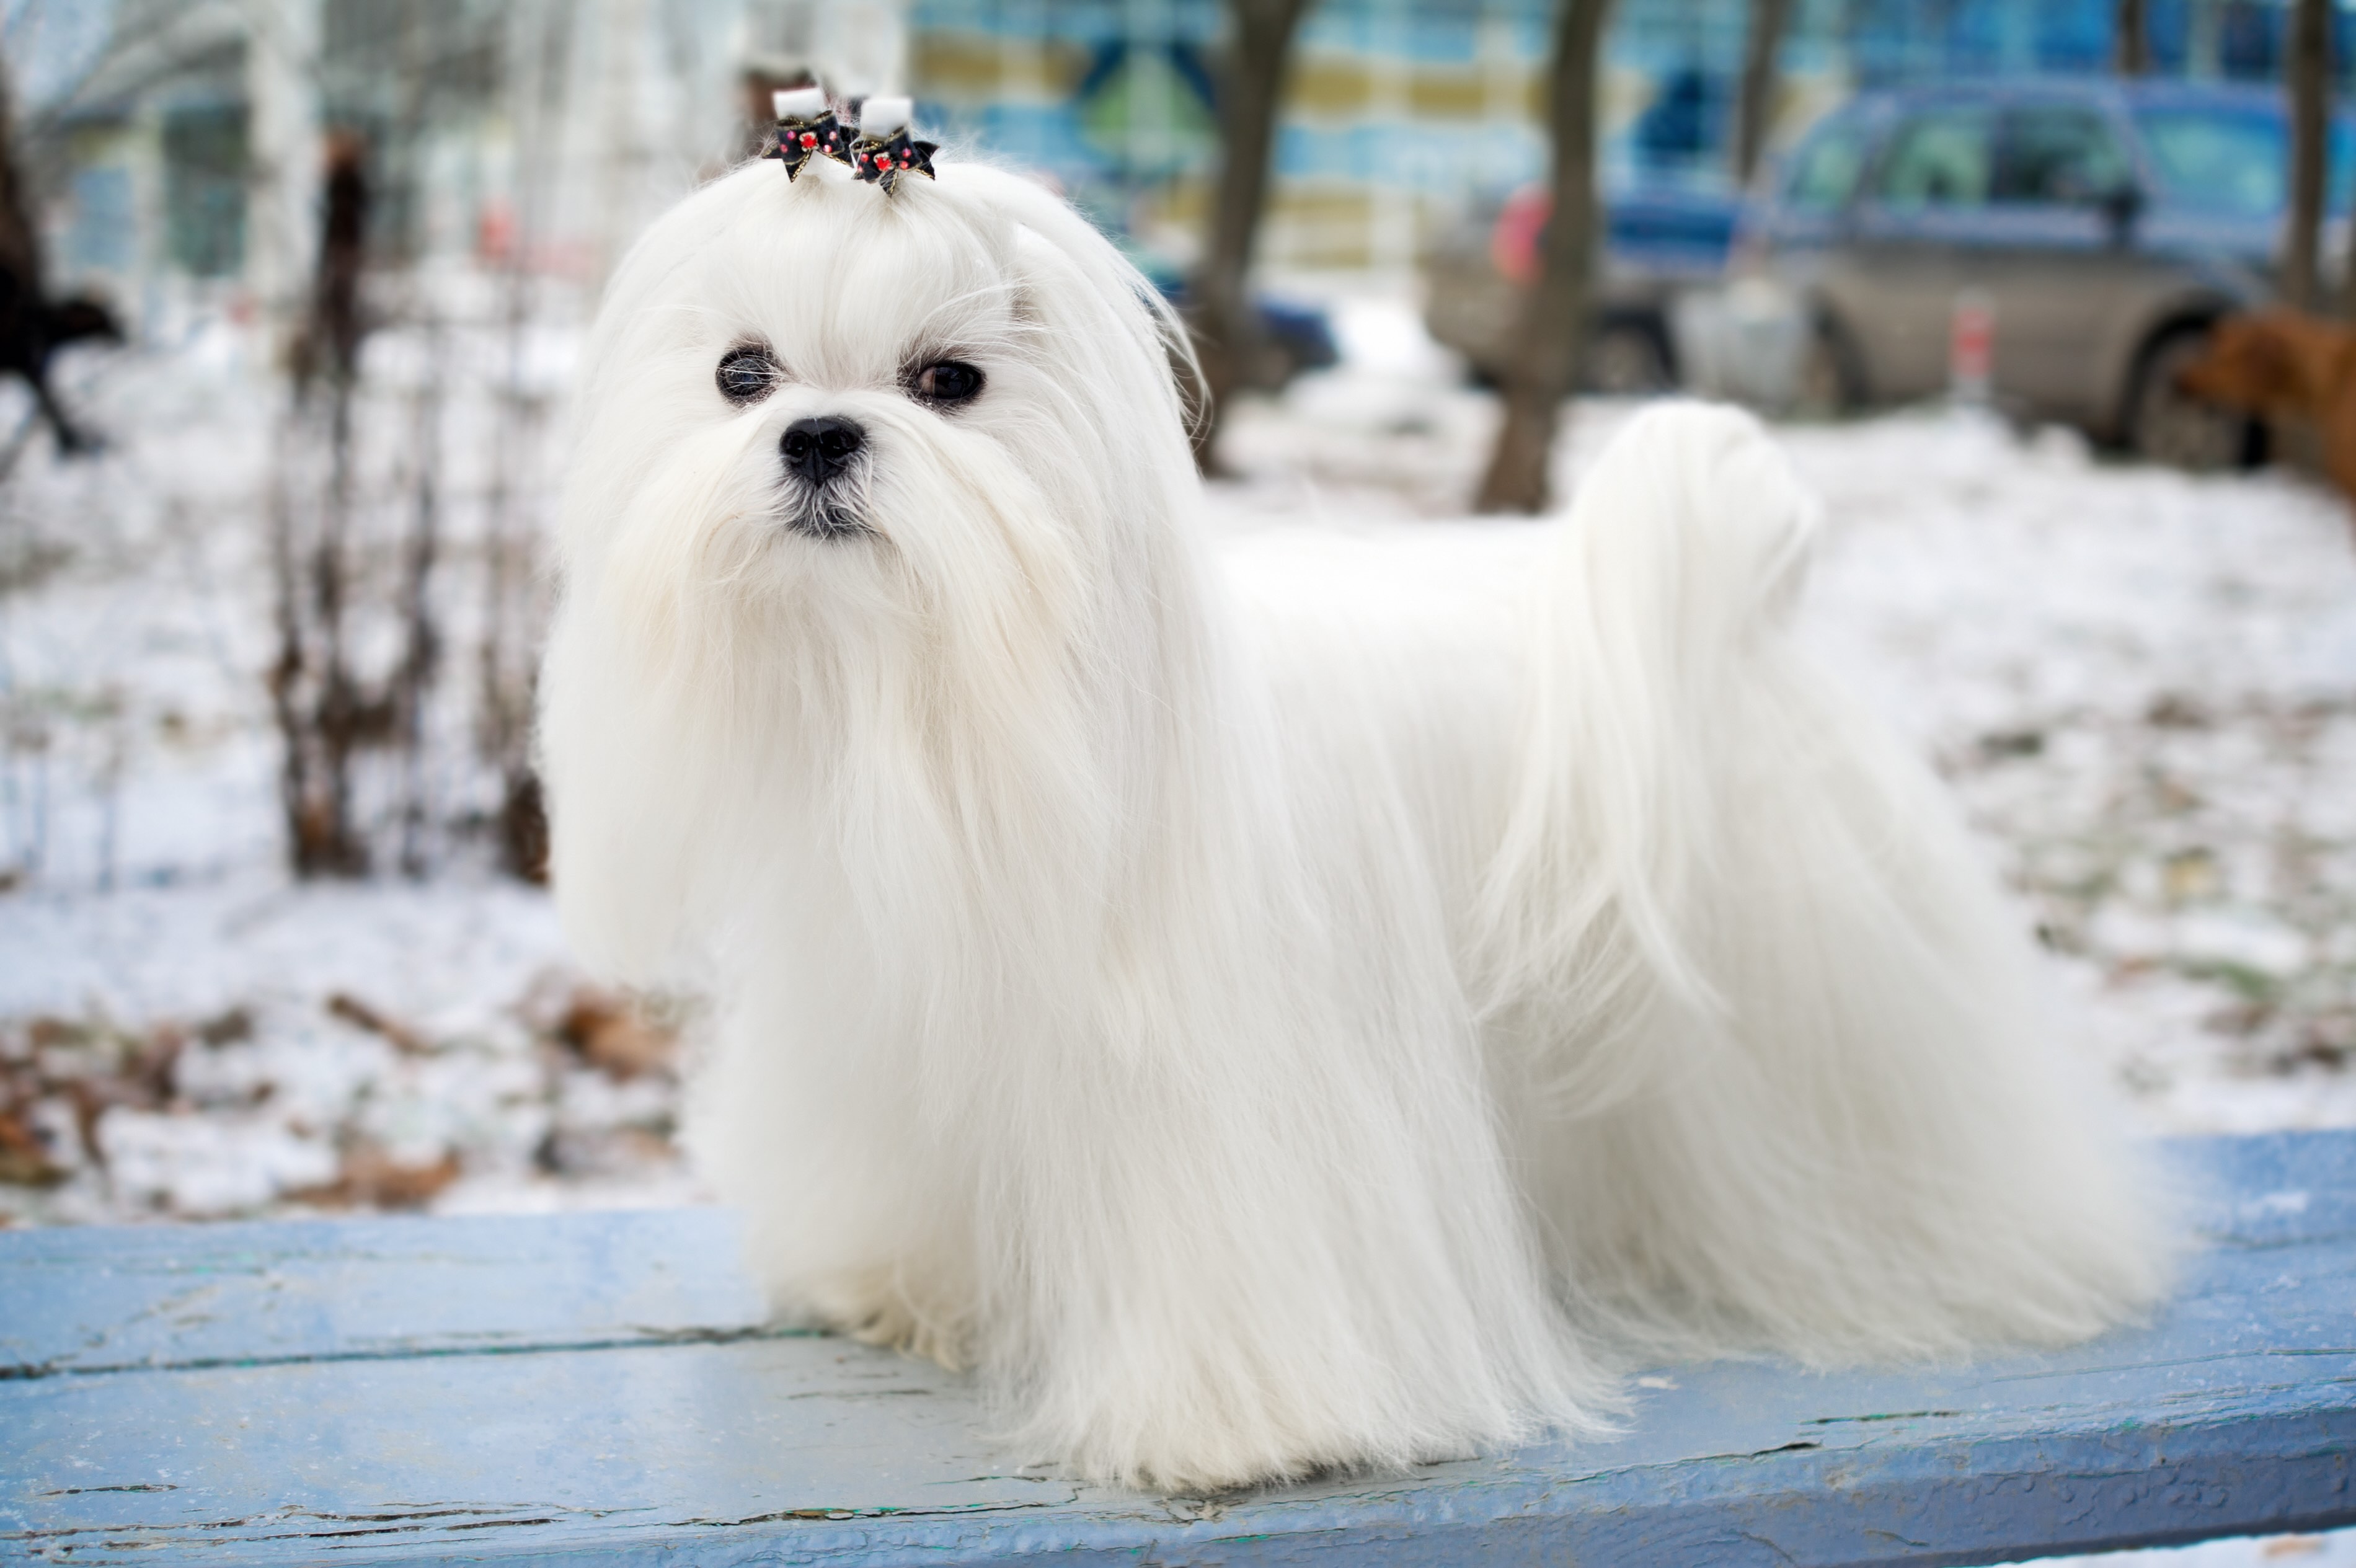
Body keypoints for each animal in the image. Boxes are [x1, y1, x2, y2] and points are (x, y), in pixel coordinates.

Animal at [539, 113, 2168, 1487]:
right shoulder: (897, 1026)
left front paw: (1229, 1428)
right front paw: (901, 1285)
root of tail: (1720, 606)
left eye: (949, 382)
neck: (945, 702)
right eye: (741, 375)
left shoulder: (1222, 1094)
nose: (816, 434)